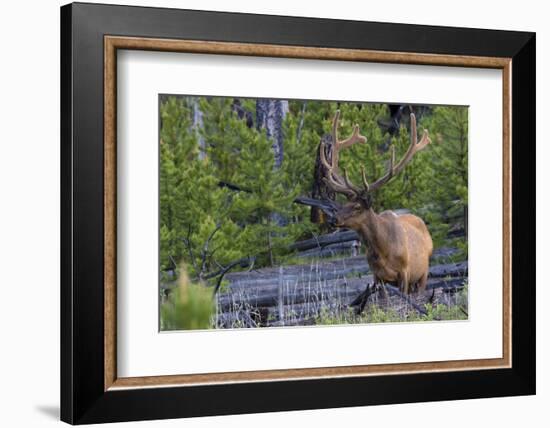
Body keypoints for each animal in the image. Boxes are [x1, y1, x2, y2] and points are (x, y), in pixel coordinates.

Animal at [324, 110, 436, 310]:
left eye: (357, 207)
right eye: (343, 205)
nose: (333, 219)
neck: (382, 249)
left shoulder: (405, 272)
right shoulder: (378, 276)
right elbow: (383, 301)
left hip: (423, 272)